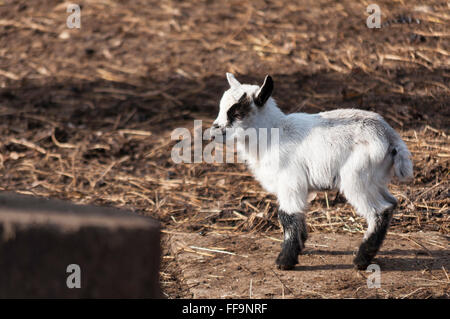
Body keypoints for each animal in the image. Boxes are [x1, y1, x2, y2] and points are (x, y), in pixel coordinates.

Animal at [209, 74, 414, 272]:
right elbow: (299, 216)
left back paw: (361, 260)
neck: (274, 134)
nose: (212, 133)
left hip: (357, 178)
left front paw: (285, 261)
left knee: (380, 210)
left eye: (237, 113)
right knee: (391, 202)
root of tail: (390, 137)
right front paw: (299, 248)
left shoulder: (290, 183)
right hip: (375, 179)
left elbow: (287, 216)